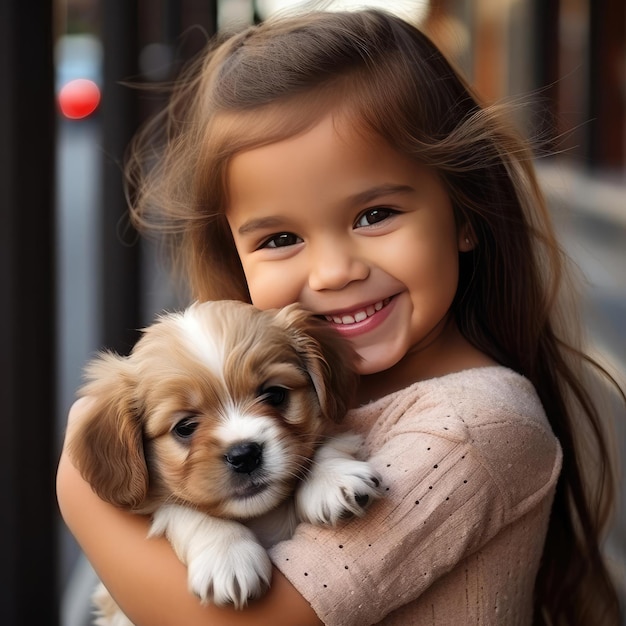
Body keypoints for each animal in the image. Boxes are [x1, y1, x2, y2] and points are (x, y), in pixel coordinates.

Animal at [68, 300, 380, 620]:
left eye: (275, 395)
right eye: (185, 427)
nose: (244, 455)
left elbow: (328, 443)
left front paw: (332, 479)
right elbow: (184, 511)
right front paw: (228, 556)